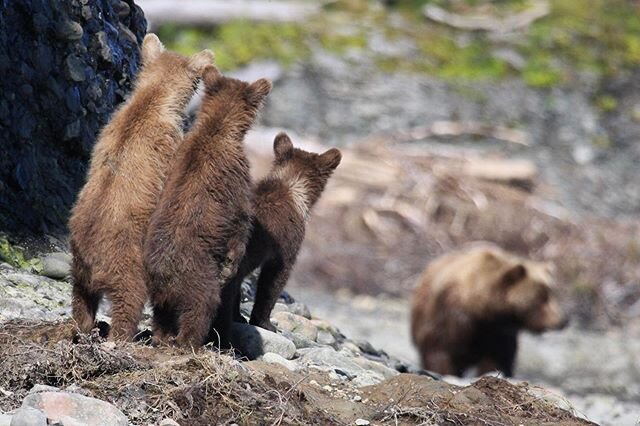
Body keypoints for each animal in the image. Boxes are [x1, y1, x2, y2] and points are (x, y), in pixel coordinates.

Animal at [68, 35, 212, 340]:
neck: (154, 97)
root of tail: (94, 267)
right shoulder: (168, 143)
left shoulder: (107, 129)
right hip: (129, 261)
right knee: (129, 297)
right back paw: (123, 335)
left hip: (78, 267)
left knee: (81, 299)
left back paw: (83, 326)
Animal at [144, 65, 272, 348]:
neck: (218, 129)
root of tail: (164, 278)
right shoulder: (236, 177)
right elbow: (241, 222)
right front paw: (232, 263)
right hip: (196, 274)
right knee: (202, 305)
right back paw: (191, 340)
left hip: (157, 289)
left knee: (162, 313)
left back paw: (163, 336)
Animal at [410, 243, 564, 376]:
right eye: (541, 297)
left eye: (550, 293)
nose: (560, 321)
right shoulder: (450, 316)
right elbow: (440, 349)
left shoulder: (498, 332)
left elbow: (498, 357)